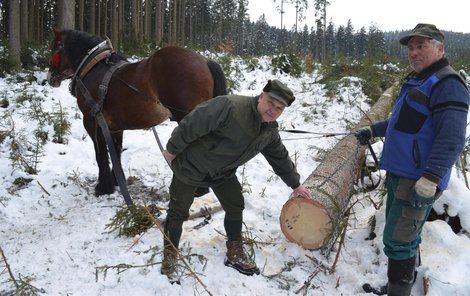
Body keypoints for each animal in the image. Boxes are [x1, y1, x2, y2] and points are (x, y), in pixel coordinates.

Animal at [47, 29, 226, 197]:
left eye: (56, 47)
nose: (50, 76)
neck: (94, 67)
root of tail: (204, 61)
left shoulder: (92, 121)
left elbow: (101, 155)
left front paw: (103, 187)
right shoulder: (114, 126)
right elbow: (116, 151)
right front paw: (117, 181)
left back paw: (198, 189)